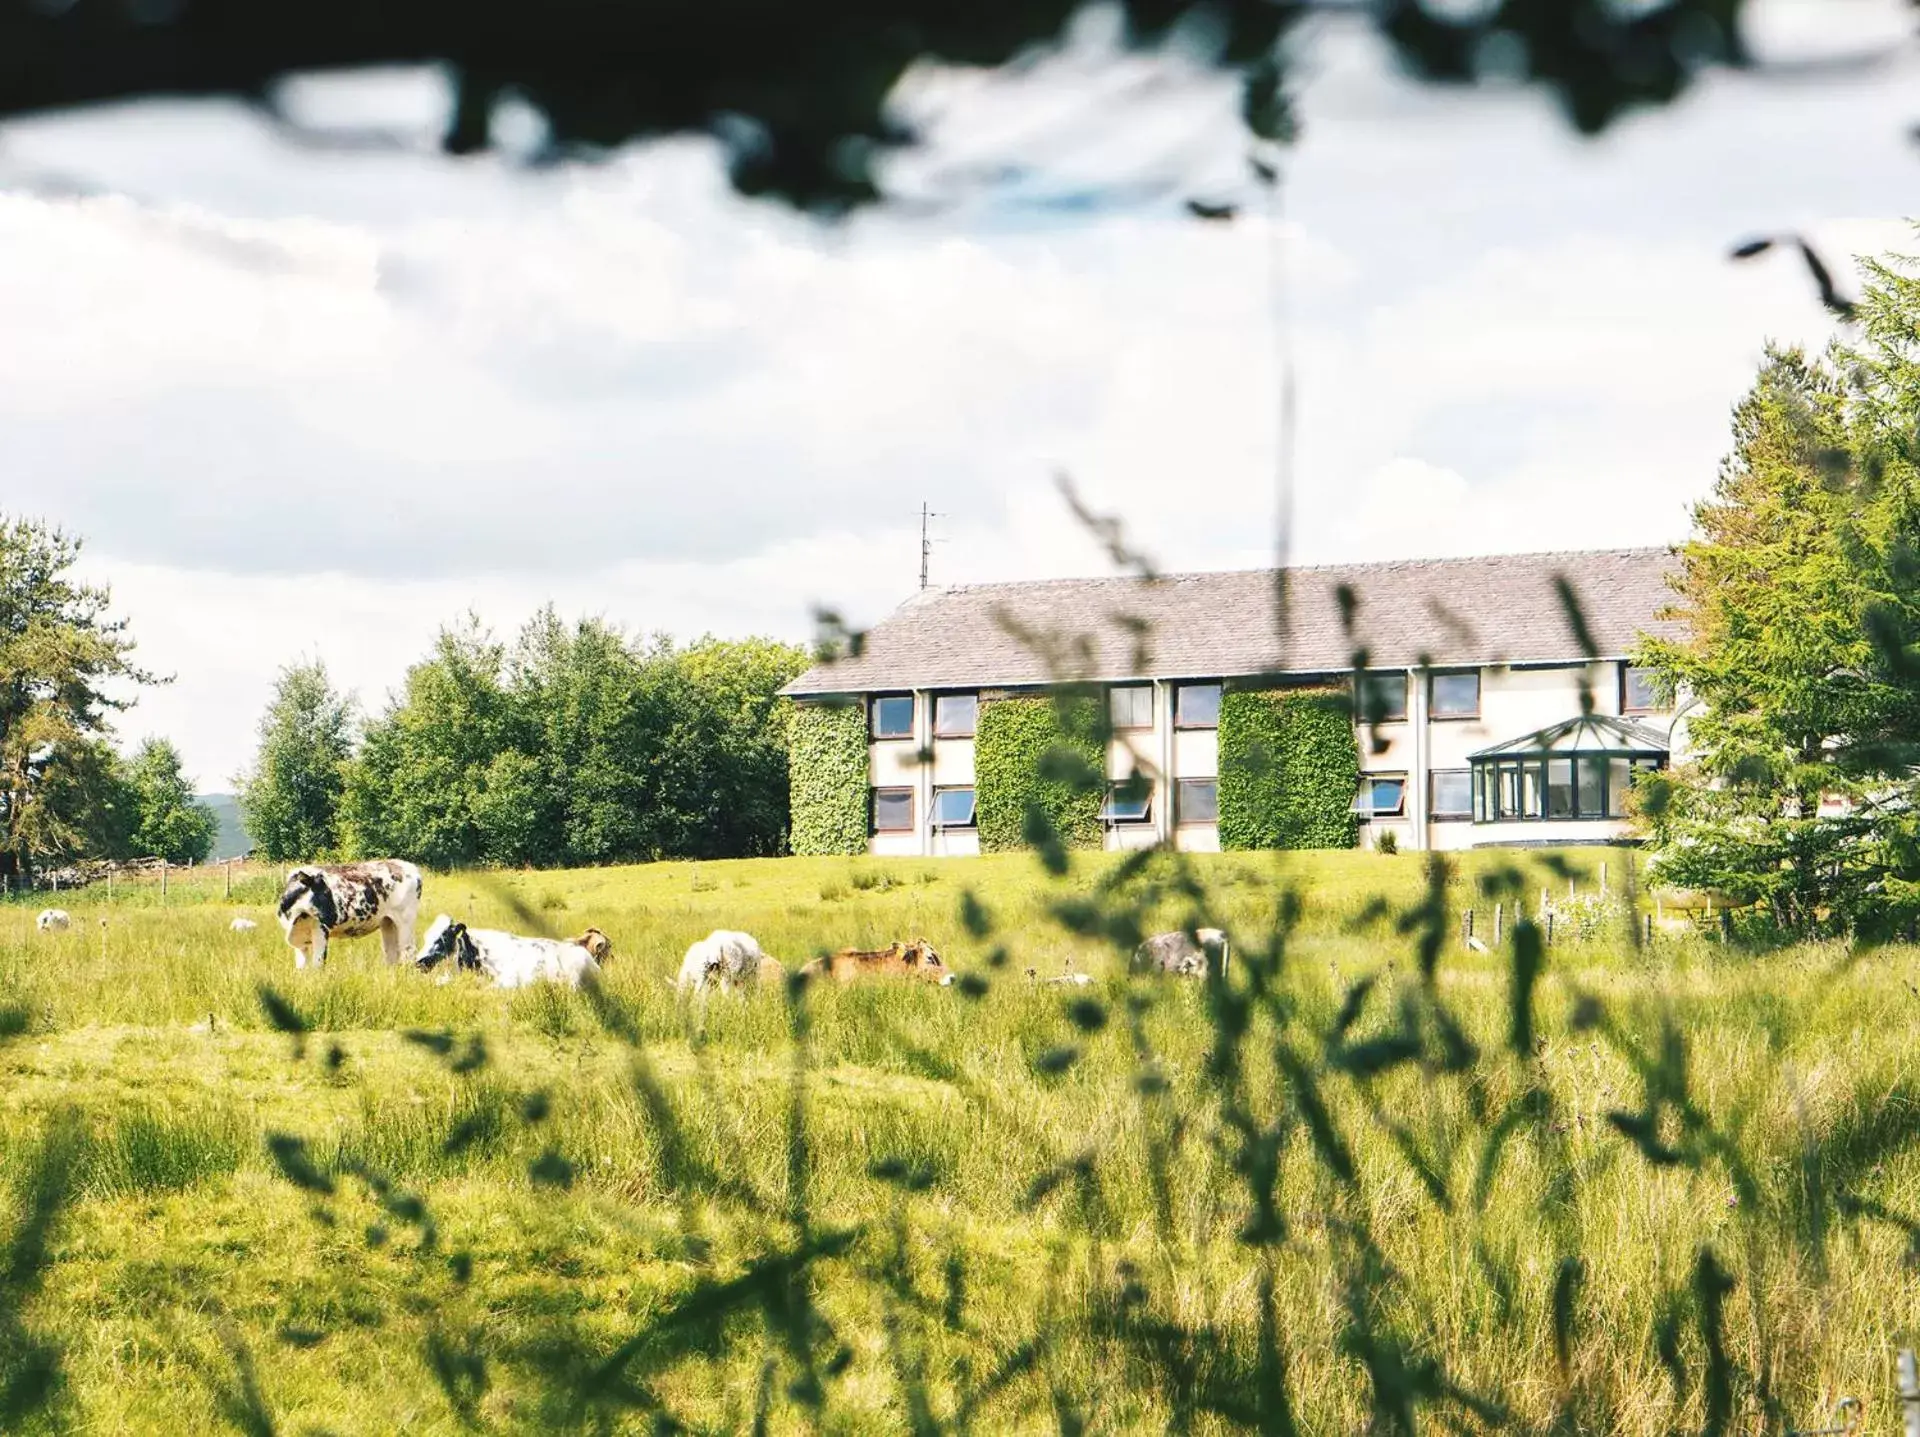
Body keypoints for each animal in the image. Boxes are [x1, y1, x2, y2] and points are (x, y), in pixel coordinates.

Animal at [276, 860, 422, 972]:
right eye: (325, 893)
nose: (333, 916)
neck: (296, 916)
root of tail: (407, 865)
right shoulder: (299, 940)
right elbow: (301, 967)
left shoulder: (321, 930)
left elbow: (318, 964)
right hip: (387, 922)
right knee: (392, 951)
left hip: (406, 920)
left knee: (409, 951)